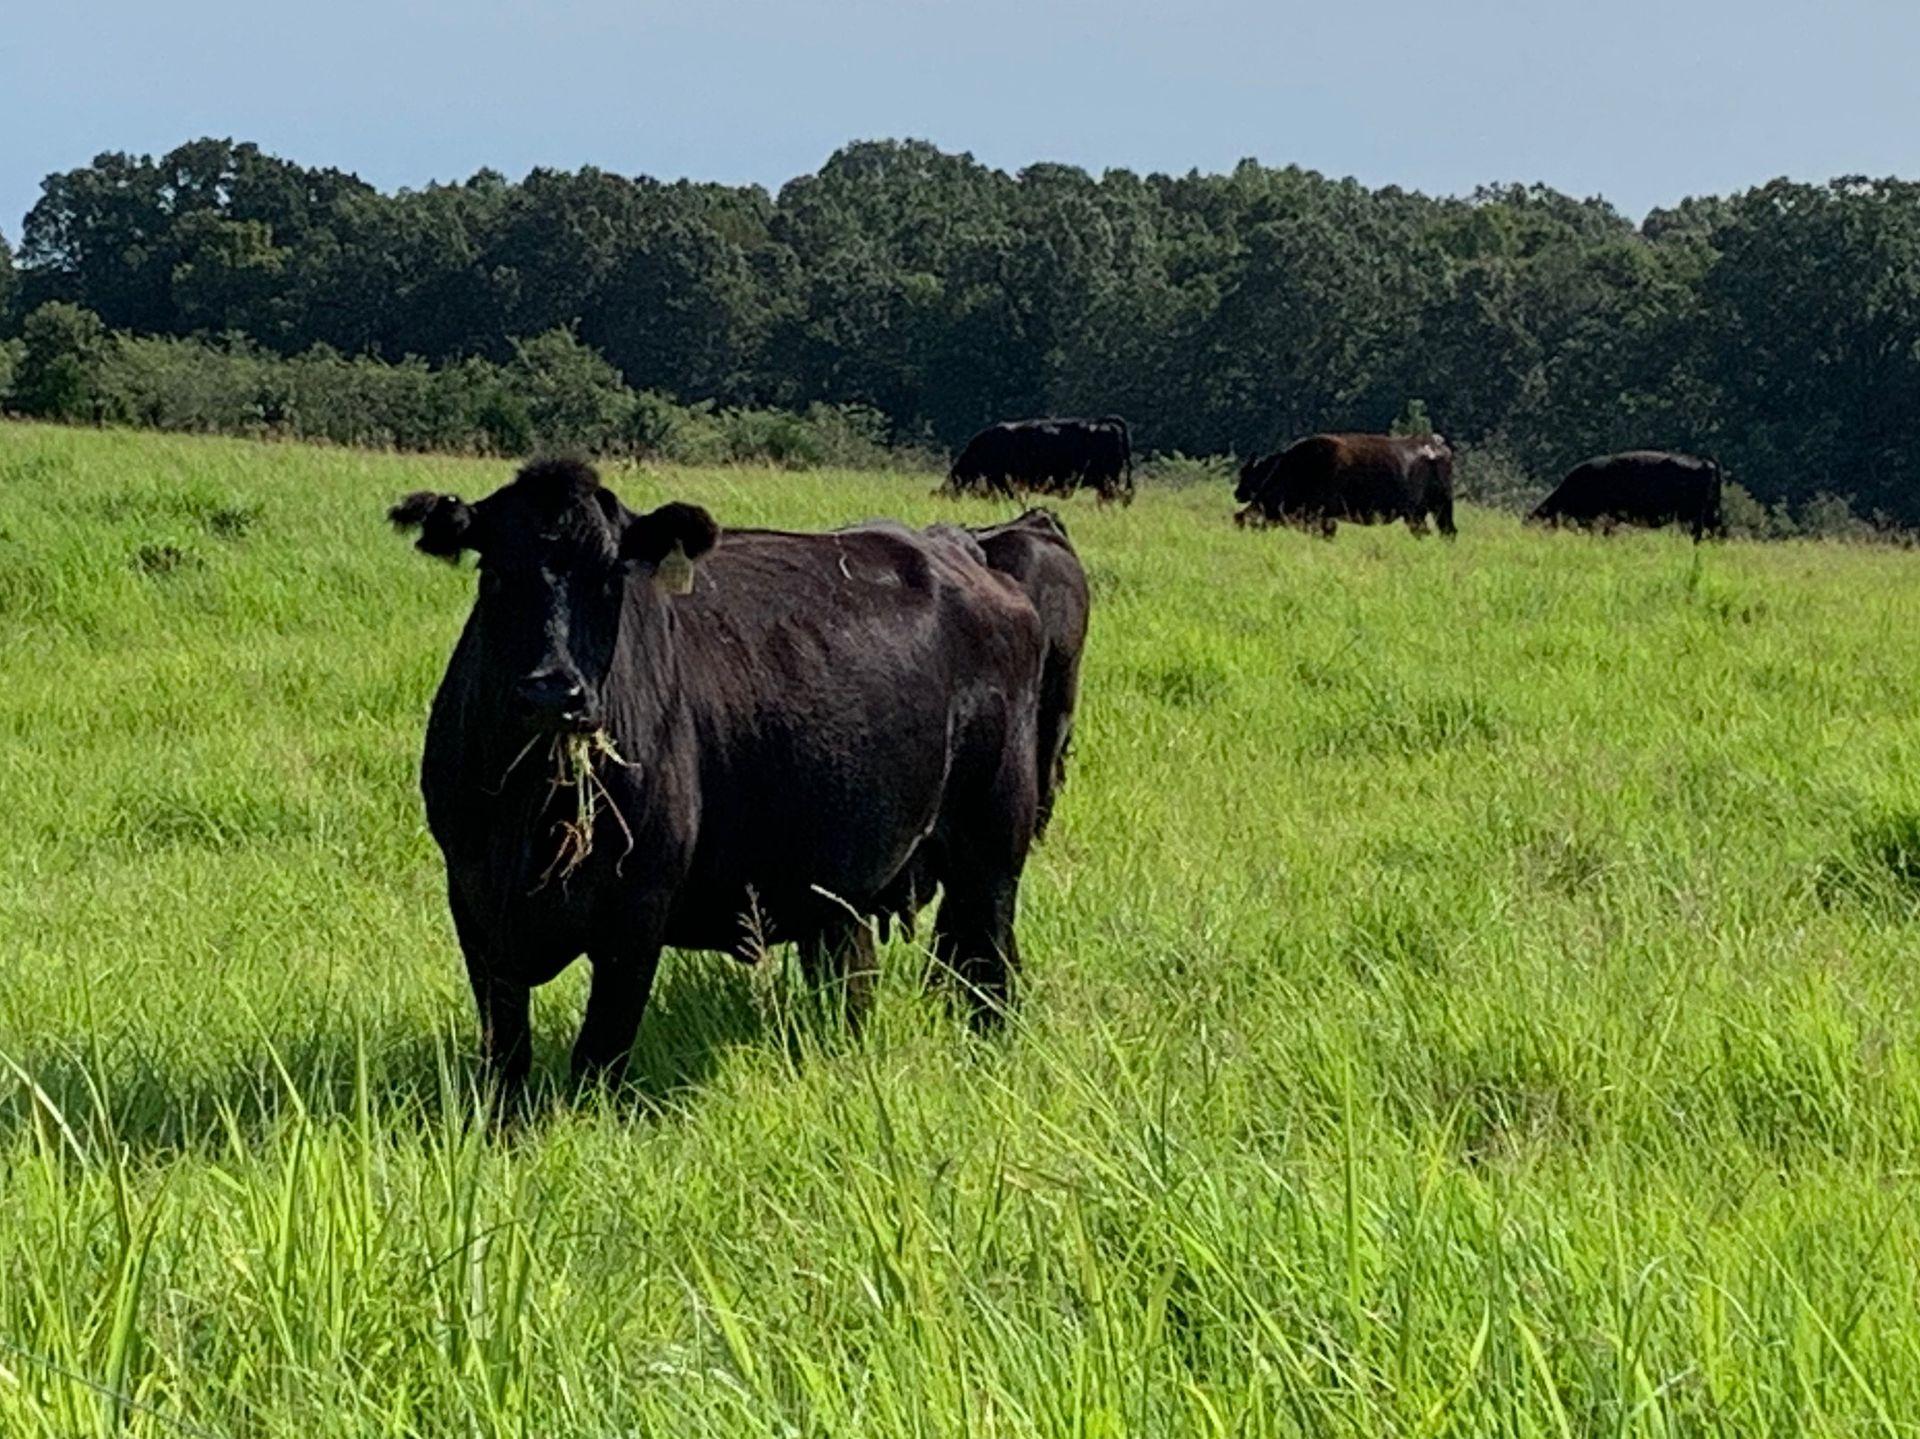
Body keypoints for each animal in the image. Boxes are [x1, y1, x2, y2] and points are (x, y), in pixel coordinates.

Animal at [387, 457, 1052, 1091]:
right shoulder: (473, 903)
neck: (533, 816)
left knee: (991, 961)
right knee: (855, 978)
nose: (554, 693)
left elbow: (599, 1053)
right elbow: (506, 1053)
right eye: (496, 573)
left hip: (994, 841)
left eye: (610, 579)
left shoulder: (638, 910)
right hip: (842, 879)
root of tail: (961, 551)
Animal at [1228, 432, 1451, 537]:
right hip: (1430, 511)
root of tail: (1434, 445)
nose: (1238, 493)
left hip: (1425, 511)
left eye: (1249, 525)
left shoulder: (1323, 518)